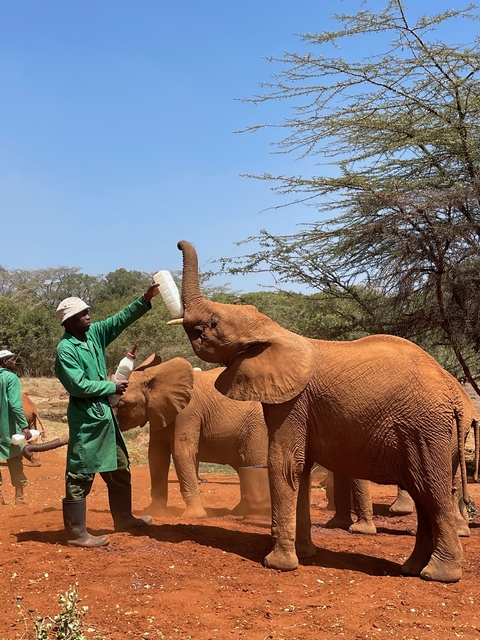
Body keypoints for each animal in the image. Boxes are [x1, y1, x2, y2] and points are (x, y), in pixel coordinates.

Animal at [114, 354, 269, 519]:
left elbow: (181, 453)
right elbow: (157, 456)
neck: (154, 373)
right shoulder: (158, 412)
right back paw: (239, 512)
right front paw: (154, 512)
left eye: (122, 405)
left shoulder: (187, 412)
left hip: (258, 426)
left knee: (254, 462)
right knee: (243, 467)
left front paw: (193, 516)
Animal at [167, 239, 478, 583]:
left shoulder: (293, 401)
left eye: (212, 324)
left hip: (426, 429)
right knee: (424, 494)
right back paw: (411, 569)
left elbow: (284, 464)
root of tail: (454, 396)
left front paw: (277, 564)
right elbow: (299, 469)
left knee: (432, 491)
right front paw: (304, 555)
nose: (178, 242)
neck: (275, 331)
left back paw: (438, 575)